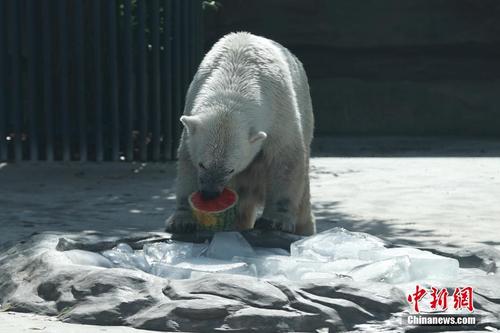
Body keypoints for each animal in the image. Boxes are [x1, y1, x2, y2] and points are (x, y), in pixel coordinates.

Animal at [168, 30, 316, 233]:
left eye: (230, 169)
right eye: (202, 164)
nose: (209, 194)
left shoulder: (279, 112)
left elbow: (285, 158)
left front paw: (275, 220)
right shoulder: (193, 104)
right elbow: (186, 160)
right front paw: (182, 220)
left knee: (303, 198)